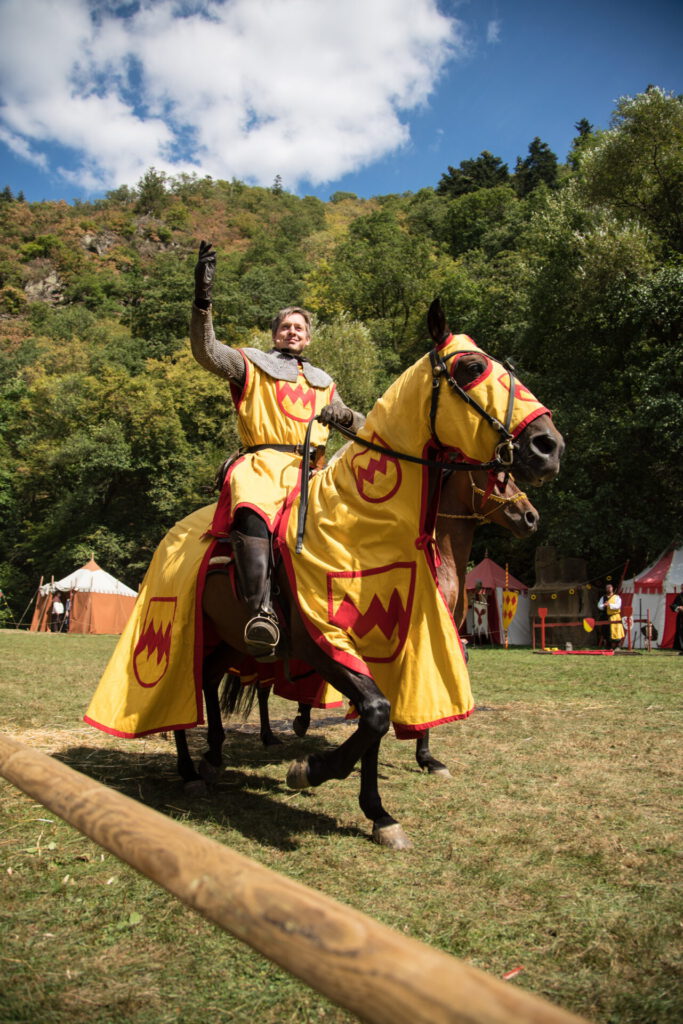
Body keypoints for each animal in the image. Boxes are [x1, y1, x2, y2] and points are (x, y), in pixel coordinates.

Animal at [174, 299, 565, 851]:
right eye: (471, 367)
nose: (549, 446)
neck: (357, 521)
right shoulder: (321, 639)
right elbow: (376, 713)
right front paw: (311, 770)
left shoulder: (391, 638)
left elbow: (377, 722)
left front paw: (381, 809)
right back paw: (192, 768)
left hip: (226, 639)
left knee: (208, 681)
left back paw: (212, 757)